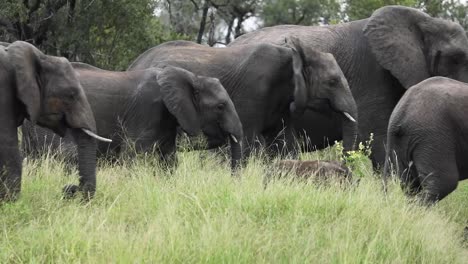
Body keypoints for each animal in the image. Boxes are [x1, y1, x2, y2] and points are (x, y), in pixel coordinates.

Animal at [21, 62, 241, 171]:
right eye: (220, 106)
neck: (192, 77)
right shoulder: (147, 110)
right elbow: (133, 154)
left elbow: (169, 159)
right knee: (68, 154)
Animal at [128, 38, 358, 159]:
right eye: (333, 82)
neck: (292, 55)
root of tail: (134, 63)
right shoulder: (253, 92)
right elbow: (247, 141)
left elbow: (284, 143)